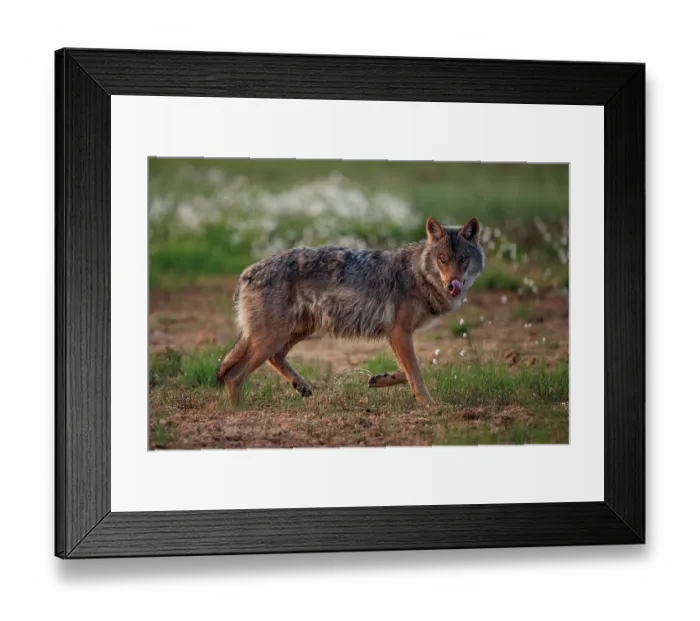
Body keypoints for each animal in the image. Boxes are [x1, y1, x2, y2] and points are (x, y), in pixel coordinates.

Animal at [216, 216, 485, 406]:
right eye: (442, 259)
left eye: (462, 259)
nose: (453, 285)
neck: (417, 274)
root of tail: (247, 272)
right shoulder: (399, 333)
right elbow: (417, 372)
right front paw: (429, 404)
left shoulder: (395, 335)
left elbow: (410, 370)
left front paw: (381, 380)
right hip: (273, 338)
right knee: (233, 377)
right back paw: (239, 413)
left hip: (296, 332)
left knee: (274, 358)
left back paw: (300, 385)